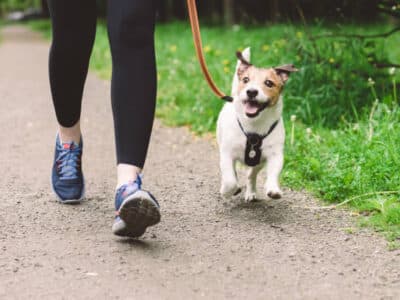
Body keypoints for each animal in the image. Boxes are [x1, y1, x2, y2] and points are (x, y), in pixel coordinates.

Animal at [216, 47, 296, 202]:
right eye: (246, 80)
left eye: (269, 83)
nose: (251, 91)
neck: (254, 125)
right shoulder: (227, 153)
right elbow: (230, 179)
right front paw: (227, 191)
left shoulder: (275, 155)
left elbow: (273, 173)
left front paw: (273, 189)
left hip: (259, 162)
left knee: (251, 175)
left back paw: (251, 191)